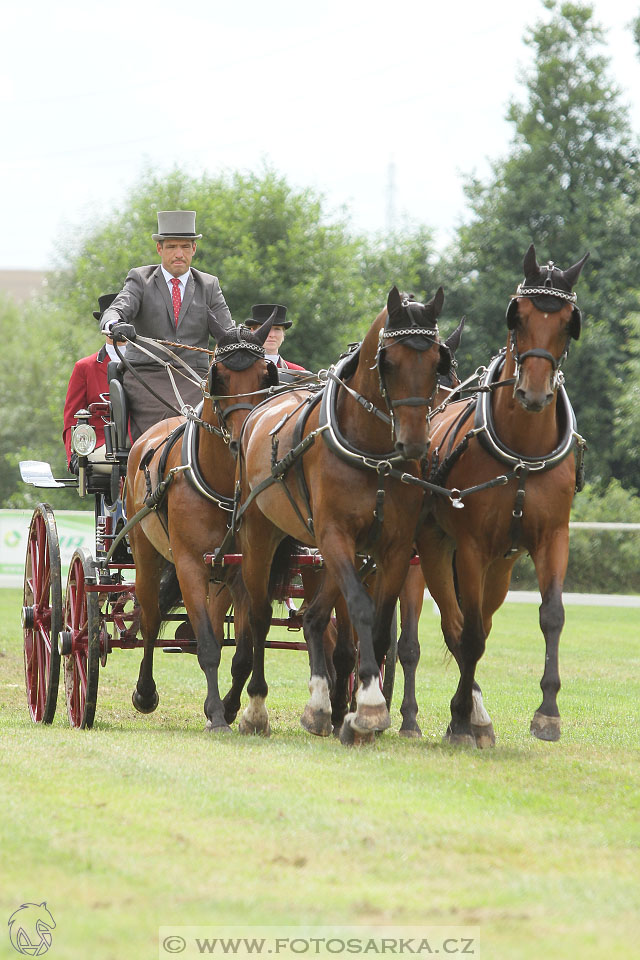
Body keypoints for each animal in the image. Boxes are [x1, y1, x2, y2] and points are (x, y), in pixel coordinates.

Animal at [126, 312, 282, 732]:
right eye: (219, 376)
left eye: (265, 374)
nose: (245, 438)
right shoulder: (189, 564)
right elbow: (209, 646)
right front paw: (215, 714)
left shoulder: (245, 566)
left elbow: (242, 651)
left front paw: (230, 709)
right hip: (146, 554)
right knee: (149, 620)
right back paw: (145, 692)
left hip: (220, 575)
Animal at [231, 284, 450, 744]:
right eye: (389, 361)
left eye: (437, 362)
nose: (415, 443)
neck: (374, 453)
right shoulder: (335, 535)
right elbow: (362, 610)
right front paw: (367, 709)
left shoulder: (394, 547)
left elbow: (379, 628)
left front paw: (360, 709)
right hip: (261, 535)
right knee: (258, 616)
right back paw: (255, 708)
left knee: (316, 618)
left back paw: (321, 707)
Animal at [410, 244, 592, 748]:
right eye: (518, 316)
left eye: (568, 321)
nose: (533, 393)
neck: (522, 452)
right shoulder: (471, 547)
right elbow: (468, 634)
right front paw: (458, 718)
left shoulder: (552, 538)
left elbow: (552, 616)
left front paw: (548, 712)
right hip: (435, 549)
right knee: (456, 626)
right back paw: (460, 716)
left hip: (503, 566)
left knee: (483, 622)